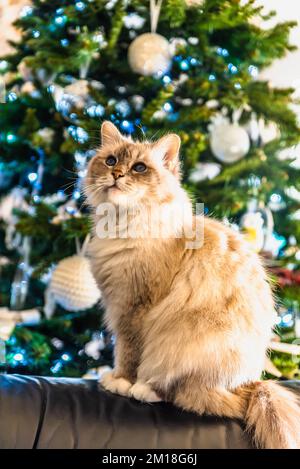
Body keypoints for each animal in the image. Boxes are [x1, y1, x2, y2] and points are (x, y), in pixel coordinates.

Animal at [85, 121, 300, 450]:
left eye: (139, 168)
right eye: (110, 161)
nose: (117, 174)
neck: (123, 225)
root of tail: (249, 384)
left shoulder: (134, 307)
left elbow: (128, 353)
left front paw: (119, 381)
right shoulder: (120, 304)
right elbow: (123, 349)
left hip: (181, 344)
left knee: (184, 394)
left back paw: (144, 389)